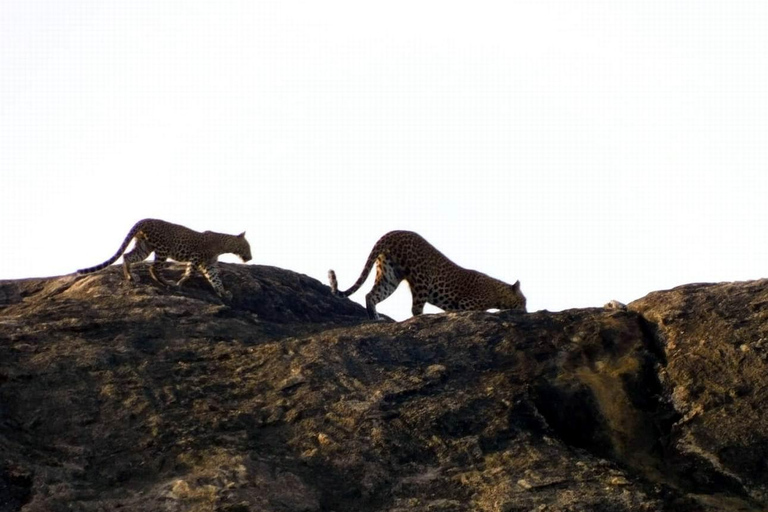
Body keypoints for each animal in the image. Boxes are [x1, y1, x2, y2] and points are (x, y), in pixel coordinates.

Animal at [75, 218, 250, 298]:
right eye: (248, 248)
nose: (250, 257)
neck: (224, 244)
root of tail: (145, 220)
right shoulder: (196, 257)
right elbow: (190, 272)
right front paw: (181, 283)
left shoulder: (209, 265)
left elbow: (215, 279)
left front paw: (223, 292)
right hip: (162, 248)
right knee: (153, 268)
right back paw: (167, 282)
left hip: (145, 246)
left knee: (127, 256)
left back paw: (131, 277)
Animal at [328, 232, 524, 320]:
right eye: (523, 301)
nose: (525, 310)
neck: (497, 291)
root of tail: (393, 233)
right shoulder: (467, 303)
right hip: (421, 279)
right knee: (415, 309)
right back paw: (422, 318)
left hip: (389, 276)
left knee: (371, 295)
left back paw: (375, 318)